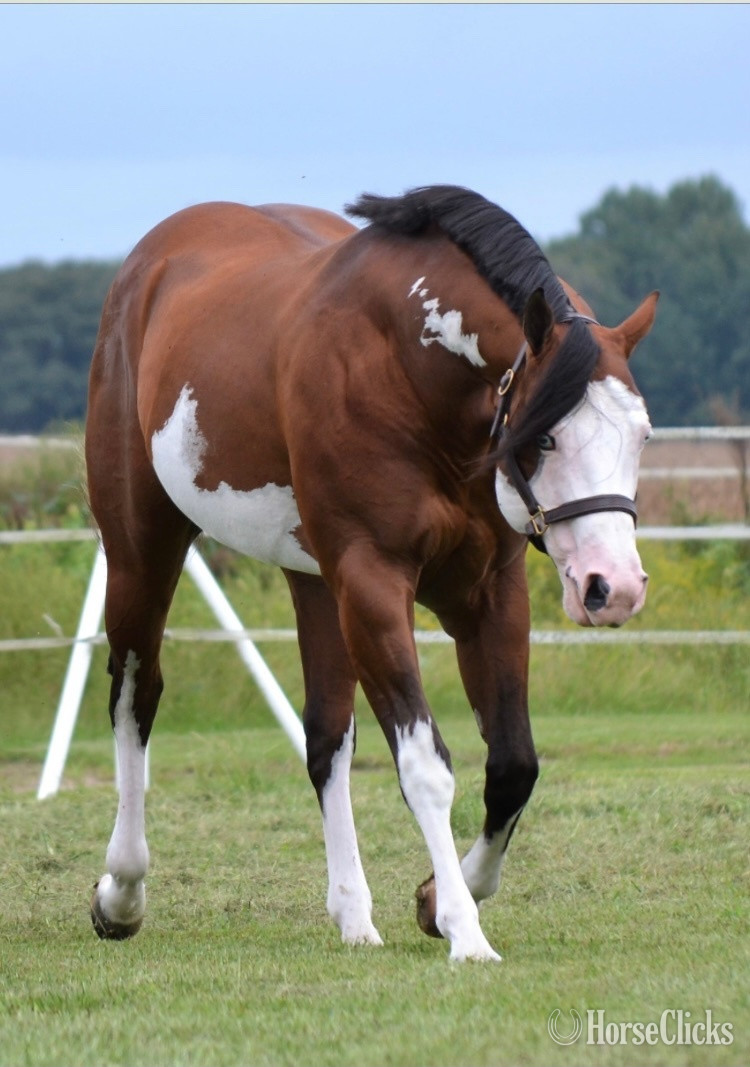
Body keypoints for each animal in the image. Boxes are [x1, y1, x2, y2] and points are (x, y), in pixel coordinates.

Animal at [85, 185, 657, 962]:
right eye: (544, 437)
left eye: (643, 435)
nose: (612, 586)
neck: (407, 368)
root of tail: (148, 266)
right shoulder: (373, 582)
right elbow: (425, 766)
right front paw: (464, 929)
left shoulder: (488, 594)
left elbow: (513, 765)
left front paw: (436, 898)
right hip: (141, 549)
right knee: (134, 697)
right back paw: (121, 892)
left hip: (314, 581)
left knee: (326, 737)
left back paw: (354, 916)